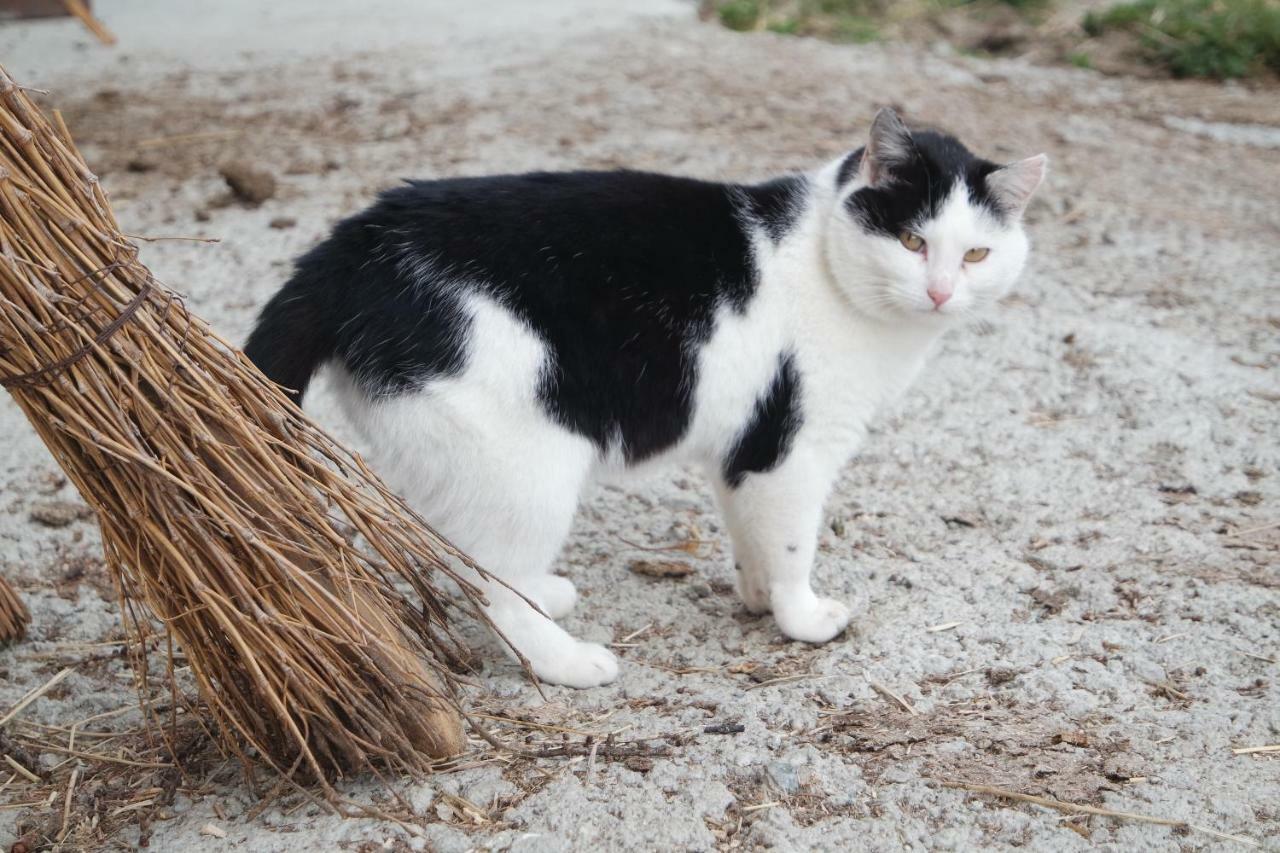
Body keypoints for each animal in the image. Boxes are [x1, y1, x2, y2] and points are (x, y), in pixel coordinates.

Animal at [244, 109, 1044, 686]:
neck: (825, 259)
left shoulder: (742, 448)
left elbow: (749, 531)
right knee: (489, 581)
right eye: (912, 241)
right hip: (528, 464)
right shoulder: (793, 448)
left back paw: (546, 597)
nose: (940, 291)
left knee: (462, 553)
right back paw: (567, 662)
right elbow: (793, 542)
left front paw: (756, 595)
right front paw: (801, 616)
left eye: (977, 254)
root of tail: (352, 245)